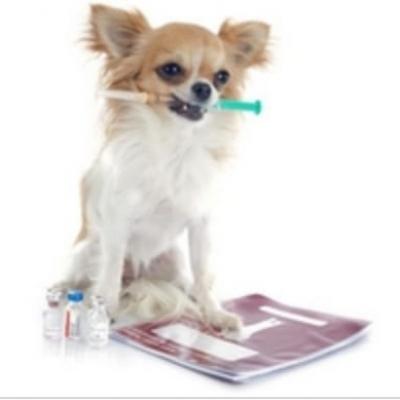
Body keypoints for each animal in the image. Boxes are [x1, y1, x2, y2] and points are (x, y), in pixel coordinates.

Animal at [55, 4, 269, 331]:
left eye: (222, 76)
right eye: (170, 70)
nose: (205, 88)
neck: (176, 141)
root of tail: (138, 277)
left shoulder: (200, 225)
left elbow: (203, 273)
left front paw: (213, 313)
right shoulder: (117, 225)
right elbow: (110, 272)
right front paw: (106, 312)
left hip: (173, 259)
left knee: (186, 281)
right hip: (87, 248)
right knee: (88, 276)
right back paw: (63, 290)